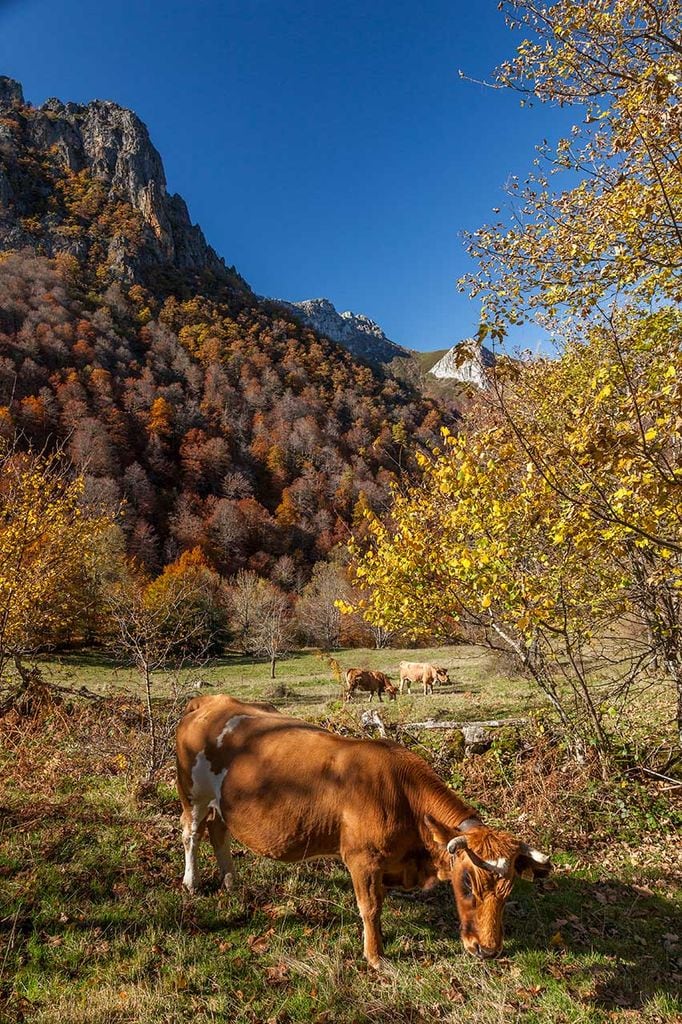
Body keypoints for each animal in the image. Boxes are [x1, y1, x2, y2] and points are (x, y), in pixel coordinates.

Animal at [176, 692, 552, 962]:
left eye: (508, 890)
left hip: (222, 805)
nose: (488, 950)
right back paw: (192, 882)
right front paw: (375, 956)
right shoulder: (362, 859)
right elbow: (370, 907)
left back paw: (230, 881)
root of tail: (212, 700)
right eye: (467, 884)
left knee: (218, 832)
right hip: (192, 795)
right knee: (191, 834)